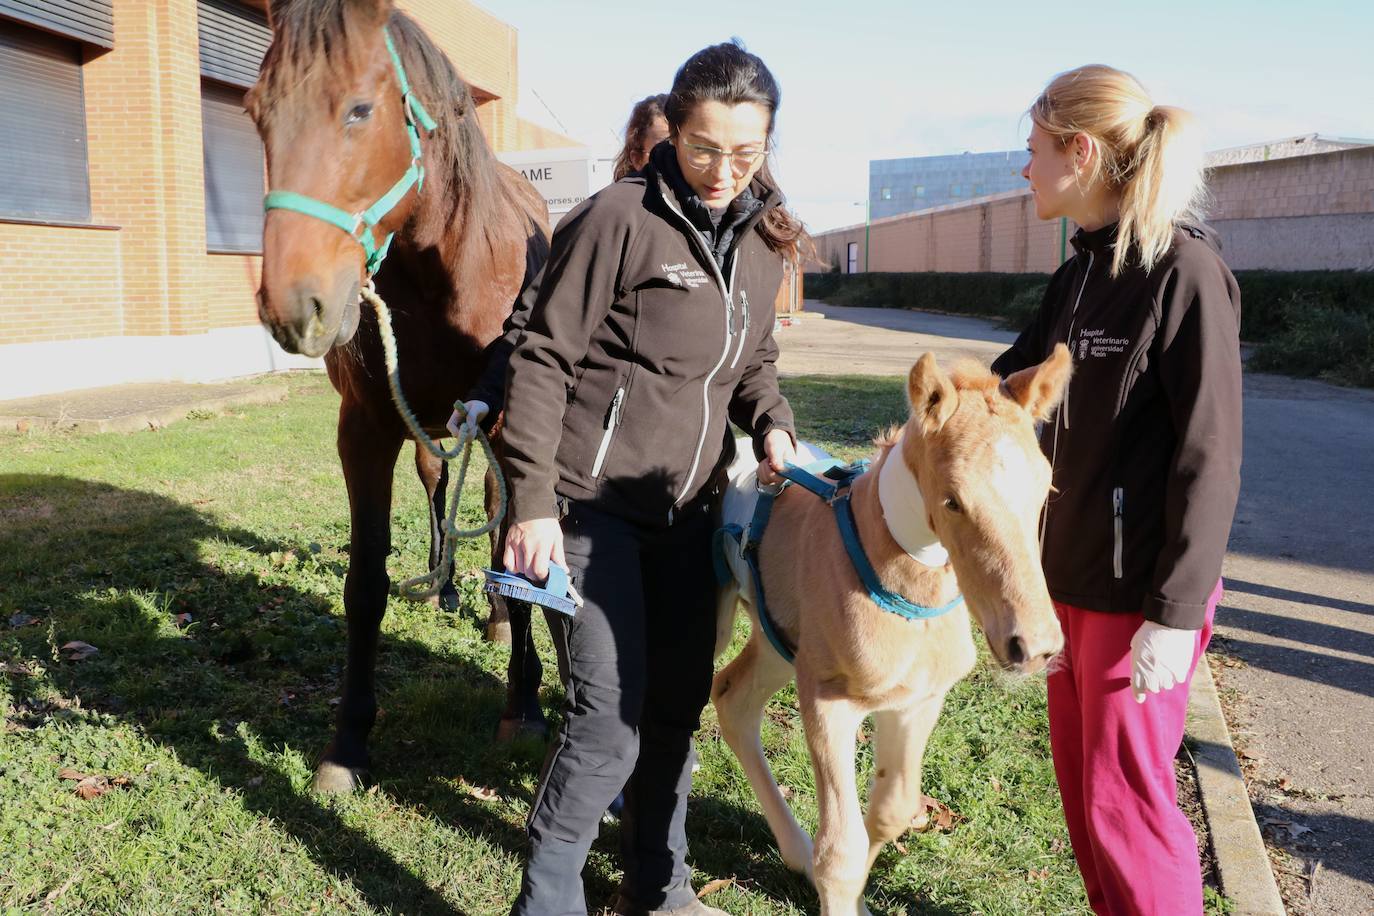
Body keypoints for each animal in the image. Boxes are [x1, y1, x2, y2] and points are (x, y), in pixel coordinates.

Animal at [250, 0, 549, 791]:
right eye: (257, 112)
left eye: (359, 108)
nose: (294, 308)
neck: (444, 276)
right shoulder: (367, 429)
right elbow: (365, 585)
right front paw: (347, 743)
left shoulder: (507, 427)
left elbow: (517, 559)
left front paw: (524, 708)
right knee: (439, 483)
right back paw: (446, 589)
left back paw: (496, 623)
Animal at [714, 347, 1077, 911]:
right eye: (952, 500)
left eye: (1046, 487)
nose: (1033, 646)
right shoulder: (827, 701)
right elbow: (840, 851)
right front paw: (840, 892)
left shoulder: (918, 698)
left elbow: (892, 811)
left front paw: (857, 899)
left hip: (779, 641)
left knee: (732, 698)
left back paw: (795, 852)